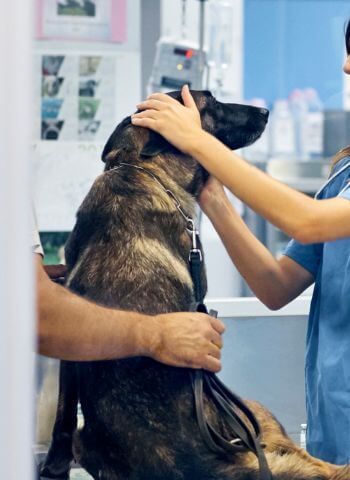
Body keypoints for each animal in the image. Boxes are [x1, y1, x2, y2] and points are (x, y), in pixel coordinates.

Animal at [40, 91, 348, 480]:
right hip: (250, 410)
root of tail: (204, 465)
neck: (137, 167)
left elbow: (62, 417)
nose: (265, 111)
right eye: (211, 103)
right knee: (312, 459)